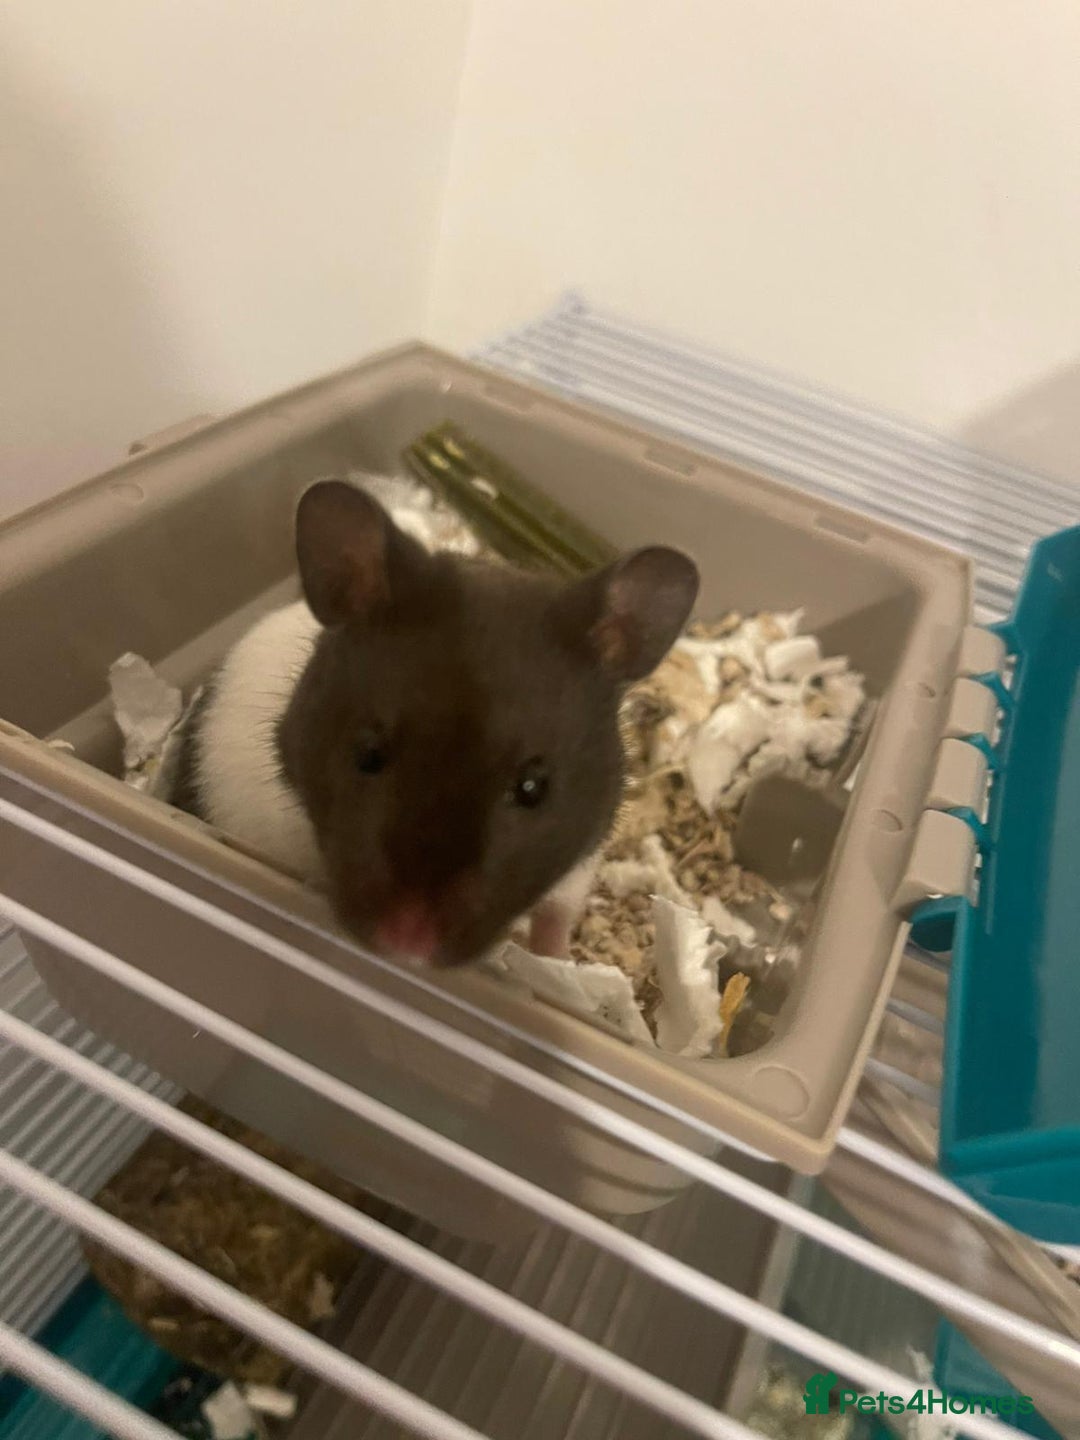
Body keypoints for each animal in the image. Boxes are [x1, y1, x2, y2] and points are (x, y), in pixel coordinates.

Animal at [175, 478, 699, 967]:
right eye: (367, 754)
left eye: (534, 788)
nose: (407, 946)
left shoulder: (583, 857)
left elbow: (556, 917)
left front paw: (557, 963)